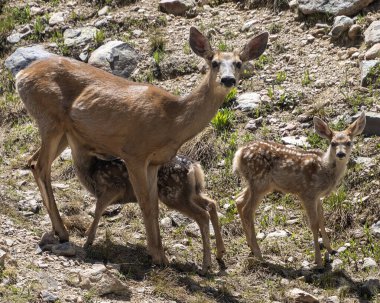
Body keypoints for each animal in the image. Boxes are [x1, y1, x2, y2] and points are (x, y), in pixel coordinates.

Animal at [16, 26, 268, 266]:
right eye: (214, 62)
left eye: (238, 63)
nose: (228, 80)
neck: (172, 120)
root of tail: (21, 76)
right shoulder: (134, 153)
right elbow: (145, 202)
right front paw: (157, 256)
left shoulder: (154, 161)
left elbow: (154, 206)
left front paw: (159, 252)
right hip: (50, 120)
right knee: (40, 165)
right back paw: (62, 232)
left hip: (63, 132)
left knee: (32, 160)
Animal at [233, 114, 366, 268]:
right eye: (332, 143)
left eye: (349, 142)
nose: (340, 154)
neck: (324, 169)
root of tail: (238, 154)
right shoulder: (307, 194)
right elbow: (314, 224)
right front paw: (318, 262)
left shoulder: (318, 197)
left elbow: (322, 219)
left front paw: (331, 249)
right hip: (259, 182)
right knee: (248, 211)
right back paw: (259, 254)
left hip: (257, 184)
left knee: (239, 200)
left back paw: (250, 246)